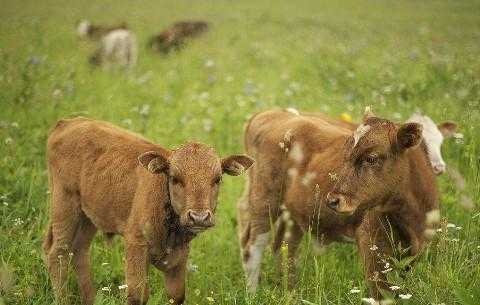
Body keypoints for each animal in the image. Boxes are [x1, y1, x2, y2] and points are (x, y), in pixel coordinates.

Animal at [44, 116, 253, 304]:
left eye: (217, 179)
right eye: (175, 178)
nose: (199, 217)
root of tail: (67, 123)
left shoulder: (180, 256)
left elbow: (176, 295)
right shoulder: (135, 245)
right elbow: (137, 296)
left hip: (89, 216)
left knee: (79, 251)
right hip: (65, 206)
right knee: (58, 252)